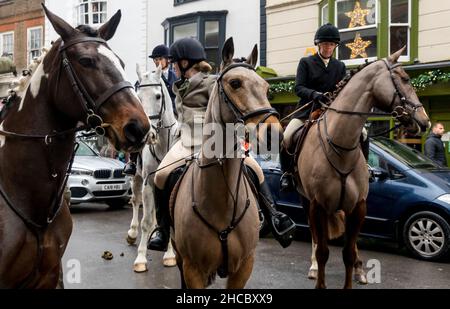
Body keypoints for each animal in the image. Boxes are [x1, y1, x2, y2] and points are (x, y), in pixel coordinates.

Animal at [126, 64, 179, 272]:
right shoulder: (148, 182)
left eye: (158, 96)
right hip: (136, 178)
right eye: (138, 97)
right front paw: (141, 258)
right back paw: (133, 233)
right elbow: (146, 221)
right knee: (136, 201)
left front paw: (170, 255)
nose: (148, 134)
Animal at [171, 38, 282, 288]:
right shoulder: (193, 269)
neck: (222, 201)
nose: (275, 135)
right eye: (235, 83)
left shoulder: (243, 267)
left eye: (266, 88)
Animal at [298, 47, 430, 288]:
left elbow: (348, 252)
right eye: (405, 79)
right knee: (314, 234)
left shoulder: (358, 206)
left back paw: (360, 269)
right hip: (306, 200)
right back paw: (312, 267)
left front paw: (355, 271)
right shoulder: (317, 204)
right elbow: (322, 252)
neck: (340, 145)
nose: (424, 121)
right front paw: (318, 274)